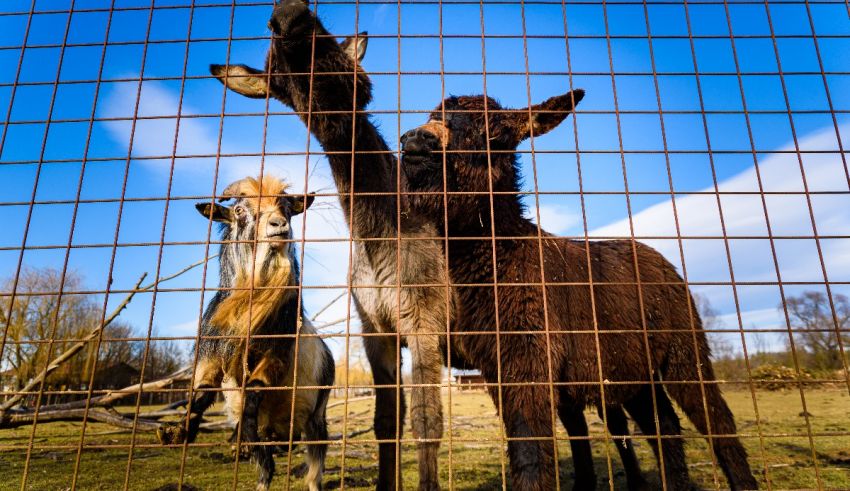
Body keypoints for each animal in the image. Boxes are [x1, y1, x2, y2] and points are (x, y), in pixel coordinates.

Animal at [400, 93, 760, 491]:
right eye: (434, 114)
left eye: (494, 134)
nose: (415, 140)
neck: (502, 260)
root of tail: (658, 257)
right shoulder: (498, 368)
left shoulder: (530, 357)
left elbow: (530, 448)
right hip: (633, 370)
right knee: (662, 423)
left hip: (684, 347)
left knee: (714, 417)